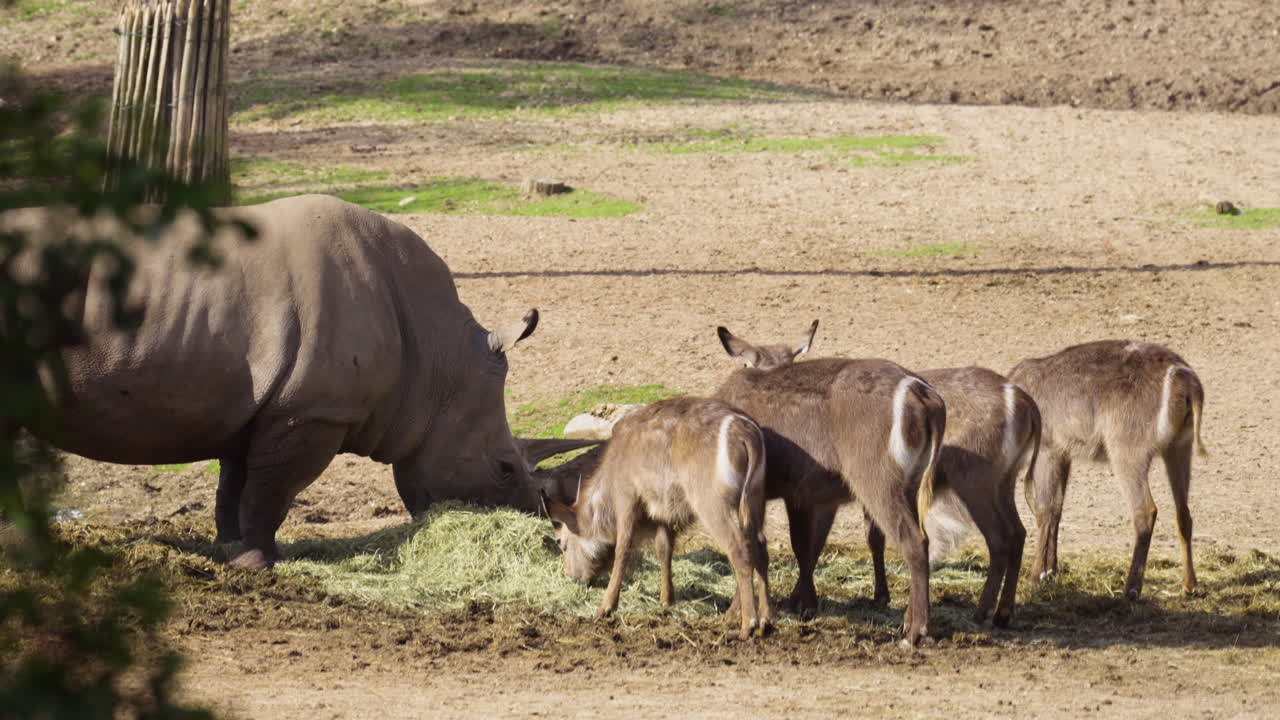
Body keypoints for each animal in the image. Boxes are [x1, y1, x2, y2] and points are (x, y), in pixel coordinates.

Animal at [1, 194, 593, 568]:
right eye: (504, 469)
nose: (542, 536)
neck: (437, 363)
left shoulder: (264, 404)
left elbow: (235, 486)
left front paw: (232, 552)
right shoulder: (312, 410)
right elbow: (272, 490)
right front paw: (259, 565)